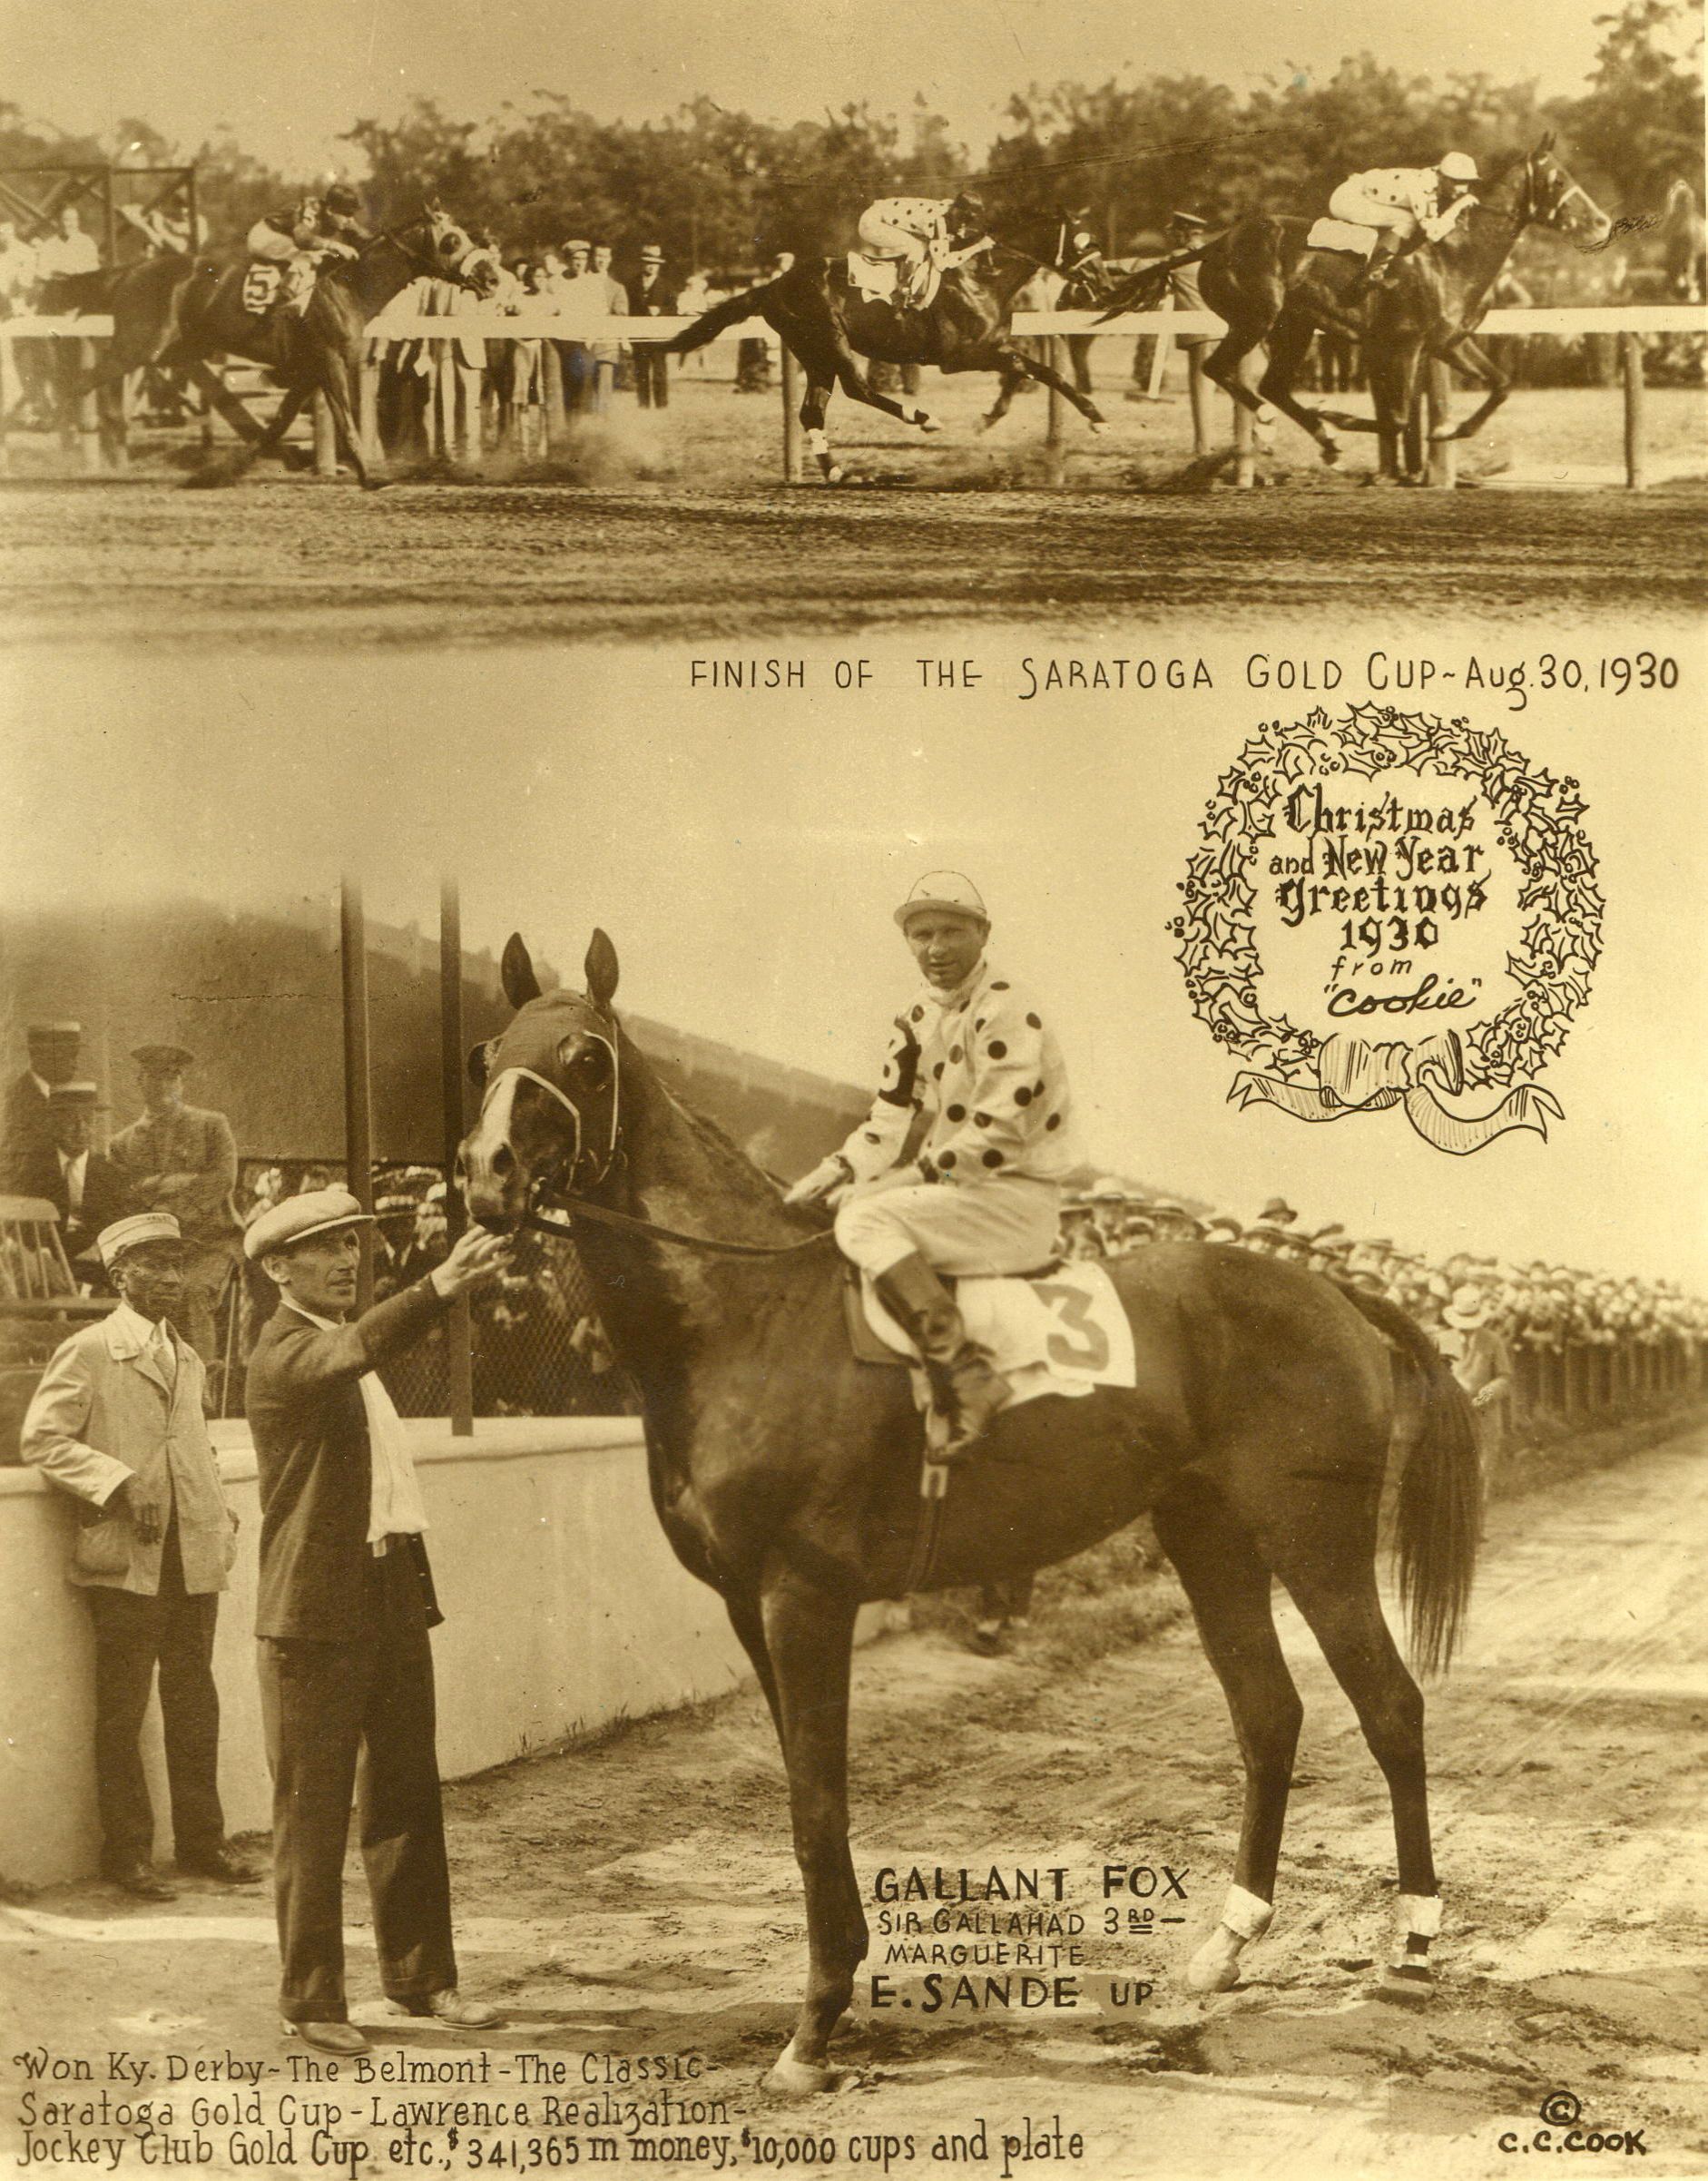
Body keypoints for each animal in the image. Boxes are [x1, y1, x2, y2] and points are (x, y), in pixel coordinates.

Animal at [32, 202, 501, 488]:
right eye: (452, 240)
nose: (493, 278)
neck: (349, 286)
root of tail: (127, 271)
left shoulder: (309, 368)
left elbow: (279, 421)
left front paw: (227, 471)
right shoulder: (330, 359)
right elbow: (345, 418)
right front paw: (371, 476)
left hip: (179, 352)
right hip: (136, 347)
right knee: (76, 386)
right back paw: (49, 431)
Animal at [464, 928, 1483, 2102]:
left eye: (585, 1058)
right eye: (487, 1051)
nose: (484, 1173)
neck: (746, 1319)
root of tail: (1328, 1292)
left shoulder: (804, 1598)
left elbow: (817, 1806)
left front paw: (813, 2030)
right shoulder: (743, 1604)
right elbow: (809, 1794)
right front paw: (830, 2003)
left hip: (1314, 1538)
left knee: (1391, 1708)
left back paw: (1412, 1944)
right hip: (1210, 1536)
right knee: (1268, 1715)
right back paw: (1225, 1947)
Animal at [663, 208, 1116, 482]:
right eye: (1082, 241)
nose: (1106, 283)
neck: (982, 278)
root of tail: (771, 286)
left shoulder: (996, 346)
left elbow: (1044, 371)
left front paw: (1097, 419)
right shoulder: (961, 356)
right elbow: (1029, 368)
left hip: (814, 353)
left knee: (812, 410)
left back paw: (838, 472)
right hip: (829, 338)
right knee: (857, 388)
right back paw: (922, 417)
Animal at [1104, 146, 1614, 486]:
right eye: (1557, 180)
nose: (1602, 221)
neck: (1453, 254)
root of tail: (1218, 242)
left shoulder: (1447, 342)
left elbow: (1502, 384)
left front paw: (1450, 429)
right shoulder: (1404, 344)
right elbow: (1398, 420)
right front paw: (1344, 420)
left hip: (1296, 327)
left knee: (1273, 385)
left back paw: (1321, 436)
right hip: (1258, 318)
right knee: (1221, 369)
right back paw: (1277, 422)